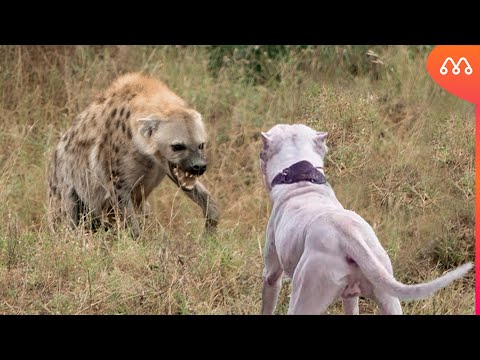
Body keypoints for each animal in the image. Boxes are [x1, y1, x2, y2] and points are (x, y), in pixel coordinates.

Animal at [258, 124, 472, 316]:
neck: (301, 180)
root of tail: (348, 235)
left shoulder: (272, 274)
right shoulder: (350, 296)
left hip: (307, 294)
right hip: (386, 294)